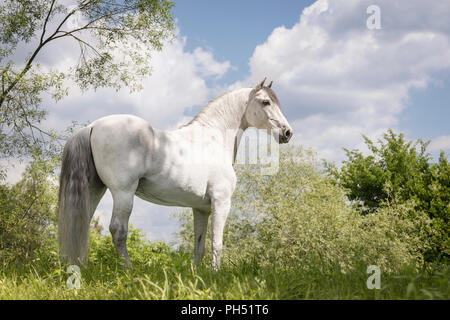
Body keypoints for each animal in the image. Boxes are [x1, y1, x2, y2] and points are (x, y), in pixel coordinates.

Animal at [58, 78, 294, 270]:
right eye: (265, 102)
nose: (287, 133)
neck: (214, 139)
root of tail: (92, 126)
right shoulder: (221, 202)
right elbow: (217, 242)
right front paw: (216, 273)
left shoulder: (201, 209)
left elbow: (199, 244)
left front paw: (198, 275)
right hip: (123, 192)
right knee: (118, 230)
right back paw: (129, 270)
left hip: (95, 189)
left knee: (81, 224)